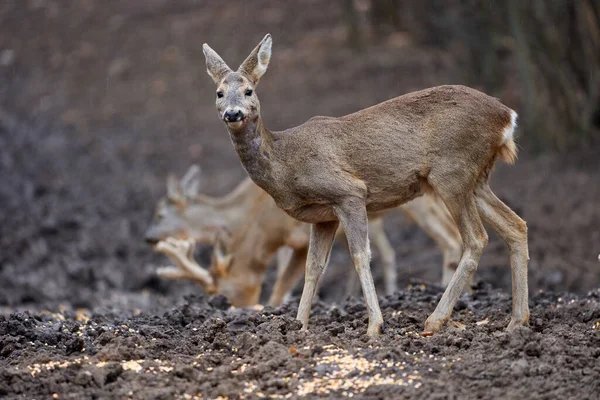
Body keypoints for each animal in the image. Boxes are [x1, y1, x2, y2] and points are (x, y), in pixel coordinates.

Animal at [146, 166, 464, 306]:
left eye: (159, 214)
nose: (147, 238)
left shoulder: (298, 235)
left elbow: (282, 284)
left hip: (421, 203)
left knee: (451, 240)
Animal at [203, 34, 528, 336]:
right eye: (219, 93)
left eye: (249, 90)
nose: (233, 113)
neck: (286, 162)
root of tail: (507, 117)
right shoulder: (323, 217)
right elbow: (313, 267)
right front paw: (300, 326)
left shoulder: (349, 192)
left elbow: (360, 256)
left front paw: (374, 326)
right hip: (476, 178)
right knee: (516, 225)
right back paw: (517, 321)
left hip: (452, 172)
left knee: (476, 238)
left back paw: (435, 320)